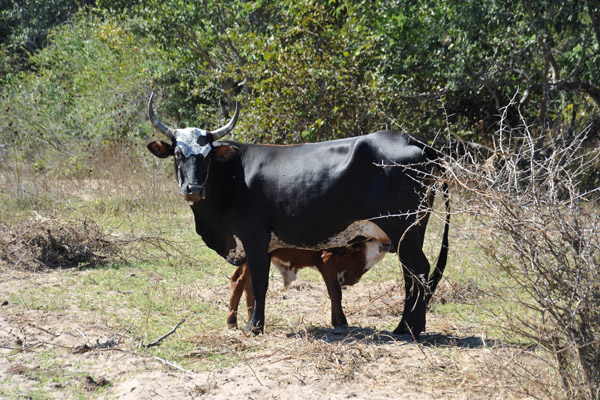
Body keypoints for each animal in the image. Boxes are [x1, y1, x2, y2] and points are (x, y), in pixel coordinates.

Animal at [227, 238, 392, 328]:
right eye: (370, 239)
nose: (388, 243)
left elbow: (333, 294)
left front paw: (335, 321)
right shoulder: (326, 263)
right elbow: (335, 293)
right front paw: (341, 322)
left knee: (247, 285)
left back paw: (250, 318)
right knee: (238, 280)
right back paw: (232, 320)